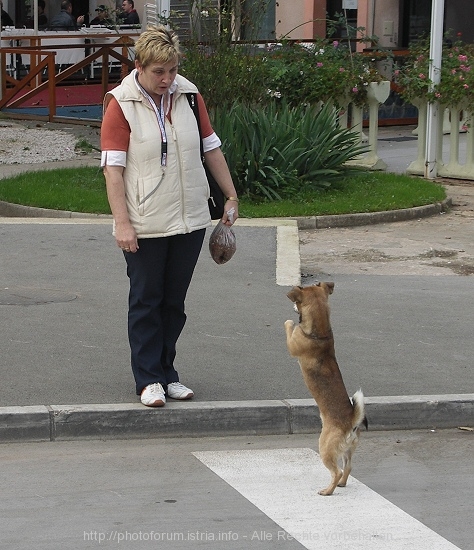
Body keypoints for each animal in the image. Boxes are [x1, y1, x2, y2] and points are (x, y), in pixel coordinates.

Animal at [284, 284, 368, 496]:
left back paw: (327, 491)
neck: (320, 334)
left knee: (336, 471)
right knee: (347, 467)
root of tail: (350, 424)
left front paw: (290, 322)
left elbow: (289, 328)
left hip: (325, 448)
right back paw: (341, 484)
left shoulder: (292, 345)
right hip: (347, 451)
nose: (293, 310)